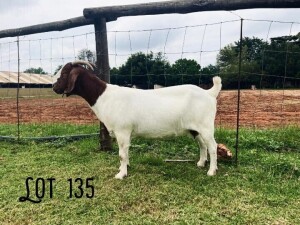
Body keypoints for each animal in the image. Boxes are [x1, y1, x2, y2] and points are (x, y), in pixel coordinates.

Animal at [53, 61, 223, 179]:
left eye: (64, 74)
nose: (54, 87)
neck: (104, 96)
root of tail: (209, 93)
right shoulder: (125, 133)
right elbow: (125, 152)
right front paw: (125, 167)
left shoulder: (122, 131)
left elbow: (121, 154)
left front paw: (121, 175)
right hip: (194, 128)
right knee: (202, 145)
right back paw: (201, 163)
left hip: (206, 126)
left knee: (213, 146)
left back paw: (211, 171)